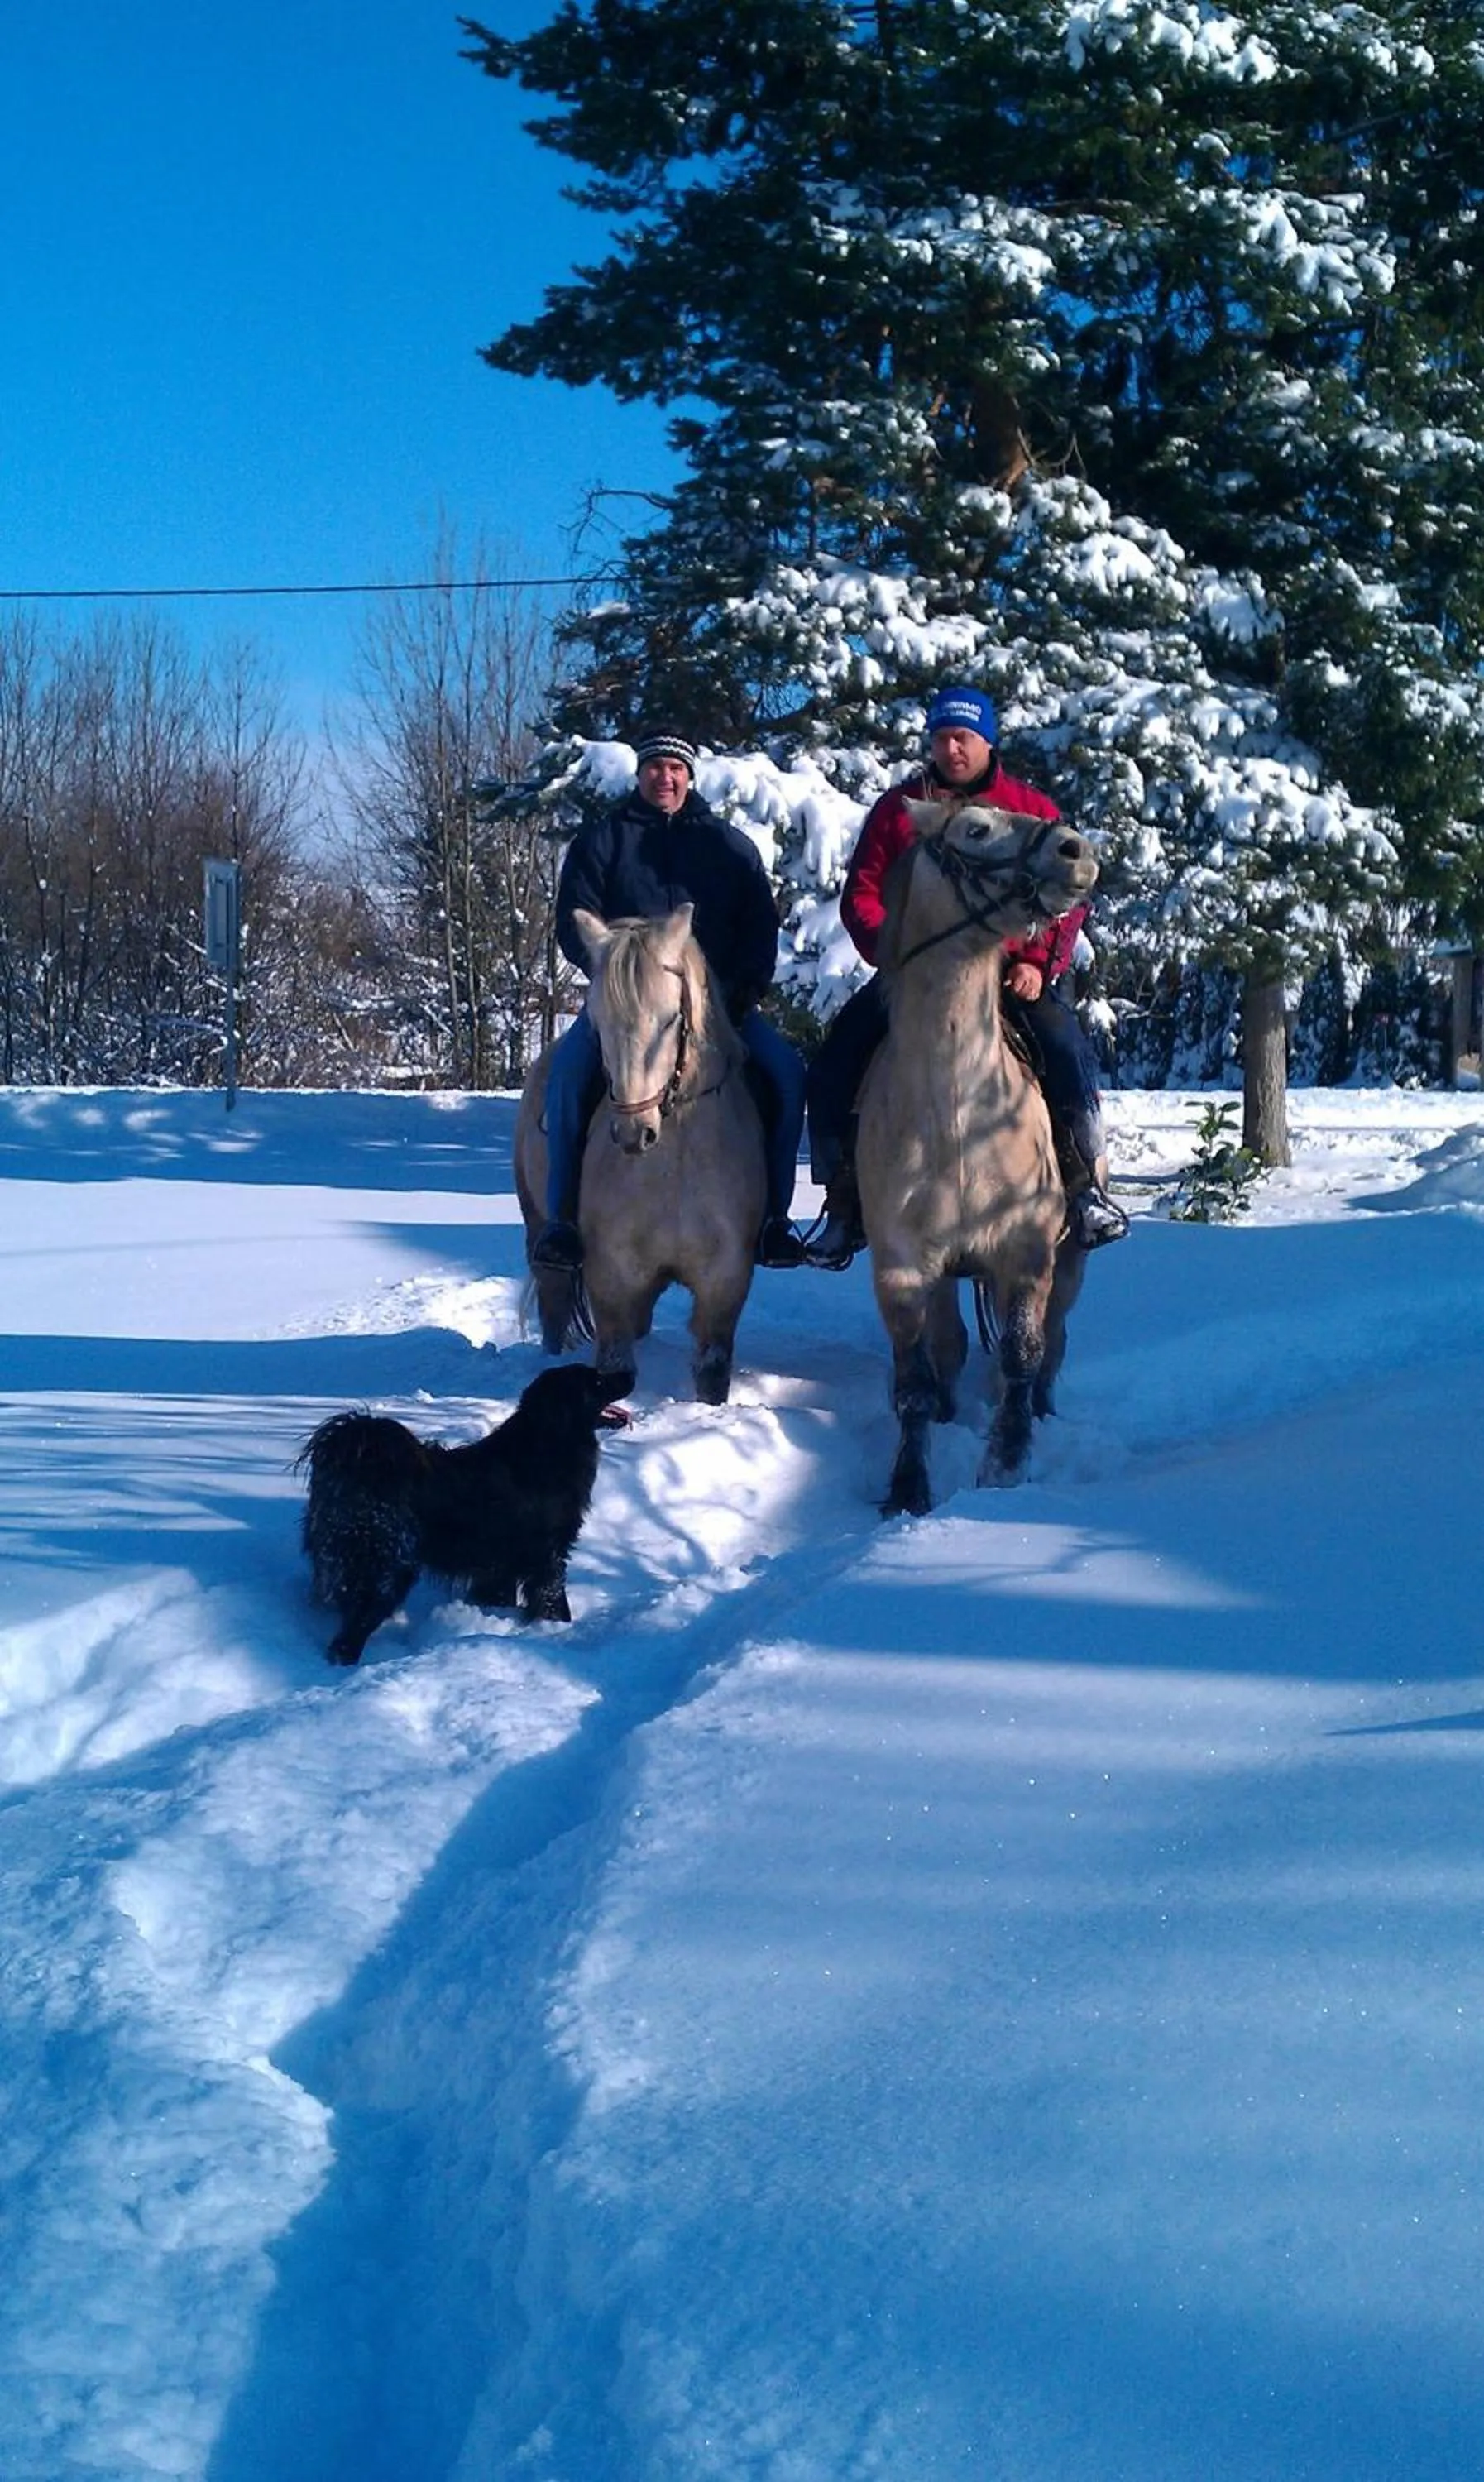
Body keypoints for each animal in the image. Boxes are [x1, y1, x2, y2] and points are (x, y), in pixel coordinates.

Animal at [515, 904, 767, 1405]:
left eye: (671, 1019)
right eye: (599, 1023)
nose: (634, 1133)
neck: (675, 1166)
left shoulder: (724, 1281)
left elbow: (712, 1375)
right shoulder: (611, 1276)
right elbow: (614, 1367)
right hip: (538, 1225)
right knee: (553, 1302)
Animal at [856, 799, 1101, 1515]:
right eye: (975, 830)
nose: (1077, 851)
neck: (959, 1115)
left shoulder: (1027, 1249)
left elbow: (1022, 1353)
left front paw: (1006, 1466)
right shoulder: (904, 1269)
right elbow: (914, 1382)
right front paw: (908, 1487)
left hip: (1071, 1263)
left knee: (1053, 1345)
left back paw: (1041, 1414)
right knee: (951, 1347)